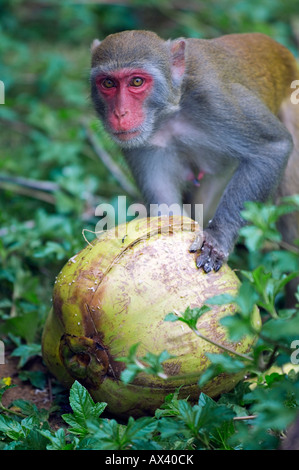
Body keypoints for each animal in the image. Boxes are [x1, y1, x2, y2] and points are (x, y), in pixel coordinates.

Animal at [91, 33, 299, 280]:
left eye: (137, 82)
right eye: (108, 83)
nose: (119, 114)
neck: (170, 110)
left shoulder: (217, 100)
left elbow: (272, 148)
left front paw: (217, 238)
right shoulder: (138, 143)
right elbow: (166, 207)